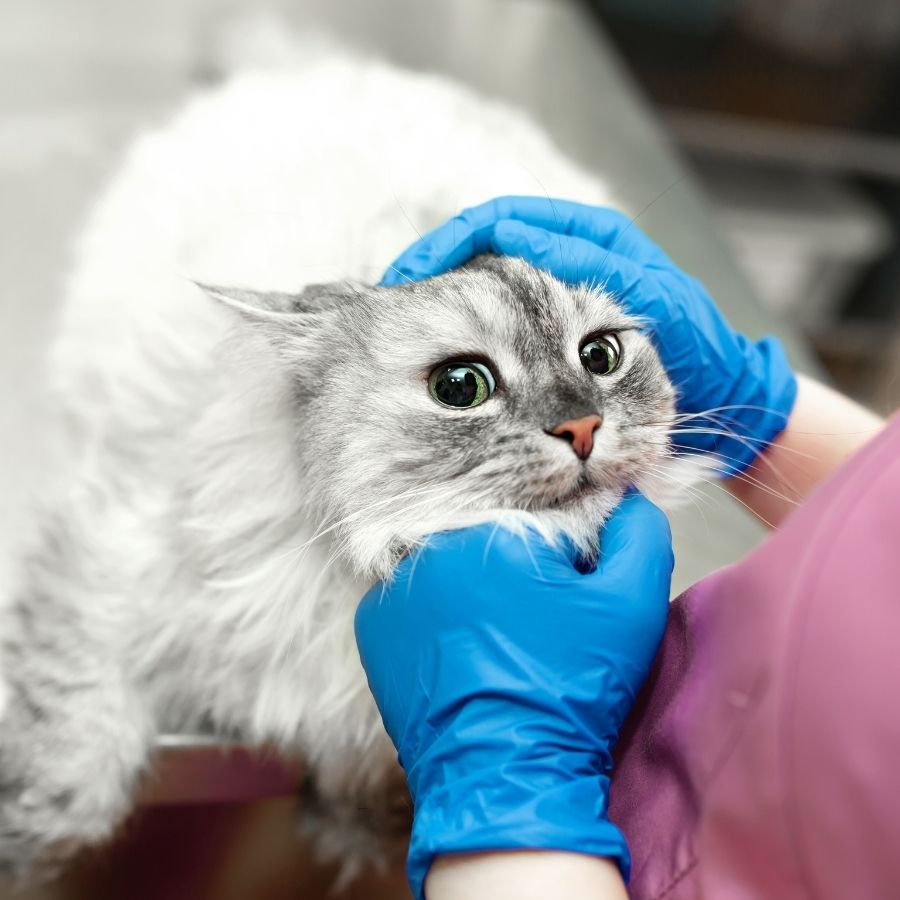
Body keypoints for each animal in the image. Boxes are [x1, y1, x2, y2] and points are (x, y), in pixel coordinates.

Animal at [0, 26, 684, 880]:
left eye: (600, 357)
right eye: (462, 386)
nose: (585, 427)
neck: (366, 567)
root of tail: (321, 63)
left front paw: (352, 822)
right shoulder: (103, 558)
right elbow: (71, 755)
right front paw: (27, 839)